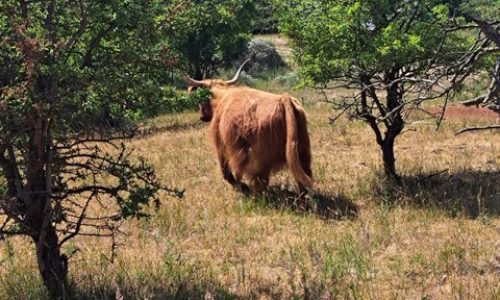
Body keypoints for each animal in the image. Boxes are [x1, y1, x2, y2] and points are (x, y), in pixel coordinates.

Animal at [188, 59, 312, 193]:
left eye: (201, 100)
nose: (202, 116)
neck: (221, 98)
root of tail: (284, 98)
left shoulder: (221, 145)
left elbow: (226, 172)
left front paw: (242, 187)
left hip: (260, 160)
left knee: (261, 183)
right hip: (302, 153)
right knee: (303, 180)